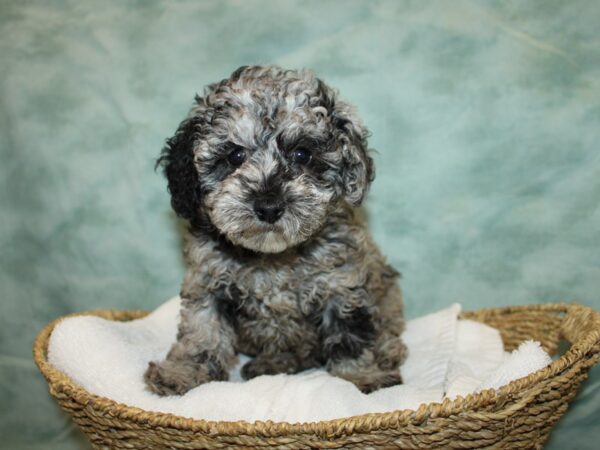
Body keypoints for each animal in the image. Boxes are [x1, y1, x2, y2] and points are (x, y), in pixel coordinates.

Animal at [145, 64, 408, 394]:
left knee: (387, 327)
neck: (273, 257)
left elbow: (350, 334)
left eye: (302, 154)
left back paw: (388, 352)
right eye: (235, 156)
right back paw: (272, 363)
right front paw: (184, 372)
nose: (269, 206)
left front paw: (362, 375)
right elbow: (202, 331)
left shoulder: (341, 282)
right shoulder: (209, 282)